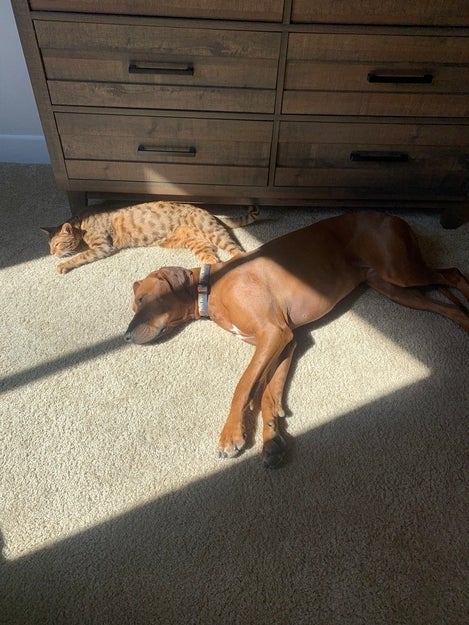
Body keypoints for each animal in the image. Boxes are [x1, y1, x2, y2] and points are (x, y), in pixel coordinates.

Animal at [41, 202, 259, 274]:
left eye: (58, 244)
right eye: (49, 245)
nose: (50, 252)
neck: (82, 222)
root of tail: (208, 211)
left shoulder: (102, 246)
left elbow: (80, 256)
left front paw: (63, 264)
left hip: (215, 234)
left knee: (240, 252)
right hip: (197, 244)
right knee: (214, 259)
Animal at [124, 211, 469, 467]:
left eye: (142, 300)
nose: (125, 336)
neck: (211, 287)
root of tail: (395, 217)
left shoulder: (273, 333)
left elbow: (243, 385)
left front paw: (231, 435)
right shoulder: (283, 342)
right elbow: (268, 394)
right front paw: (271, 440)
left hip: (400, 271)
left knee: (453, 274)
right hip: (393, 287)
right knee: (448, 306)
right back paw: (464, 320)